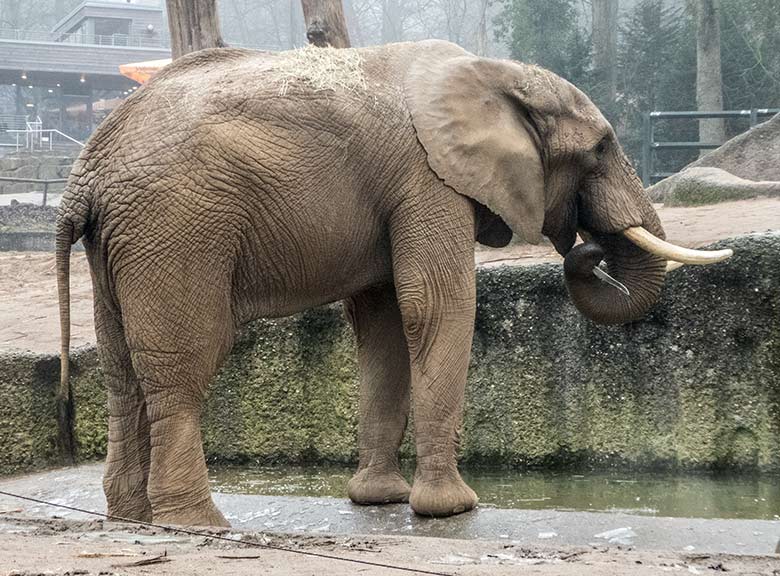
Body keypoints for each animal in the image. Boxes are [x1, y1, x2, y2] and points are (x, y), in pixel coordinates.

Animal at [54, 39, 732, 528]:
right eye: (600, 150)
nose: (586, 248)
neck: (493, 73)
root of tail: (85, 173)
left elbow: (383, 328)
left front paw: (379, 500)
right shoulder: (427, 180)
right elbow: (438, 308)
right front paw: (452, 510)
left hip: (124, 241)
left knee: (121, 371)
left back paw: (131, 518)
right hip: (176, 227)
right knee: (183, 366)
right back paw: (196, 524)